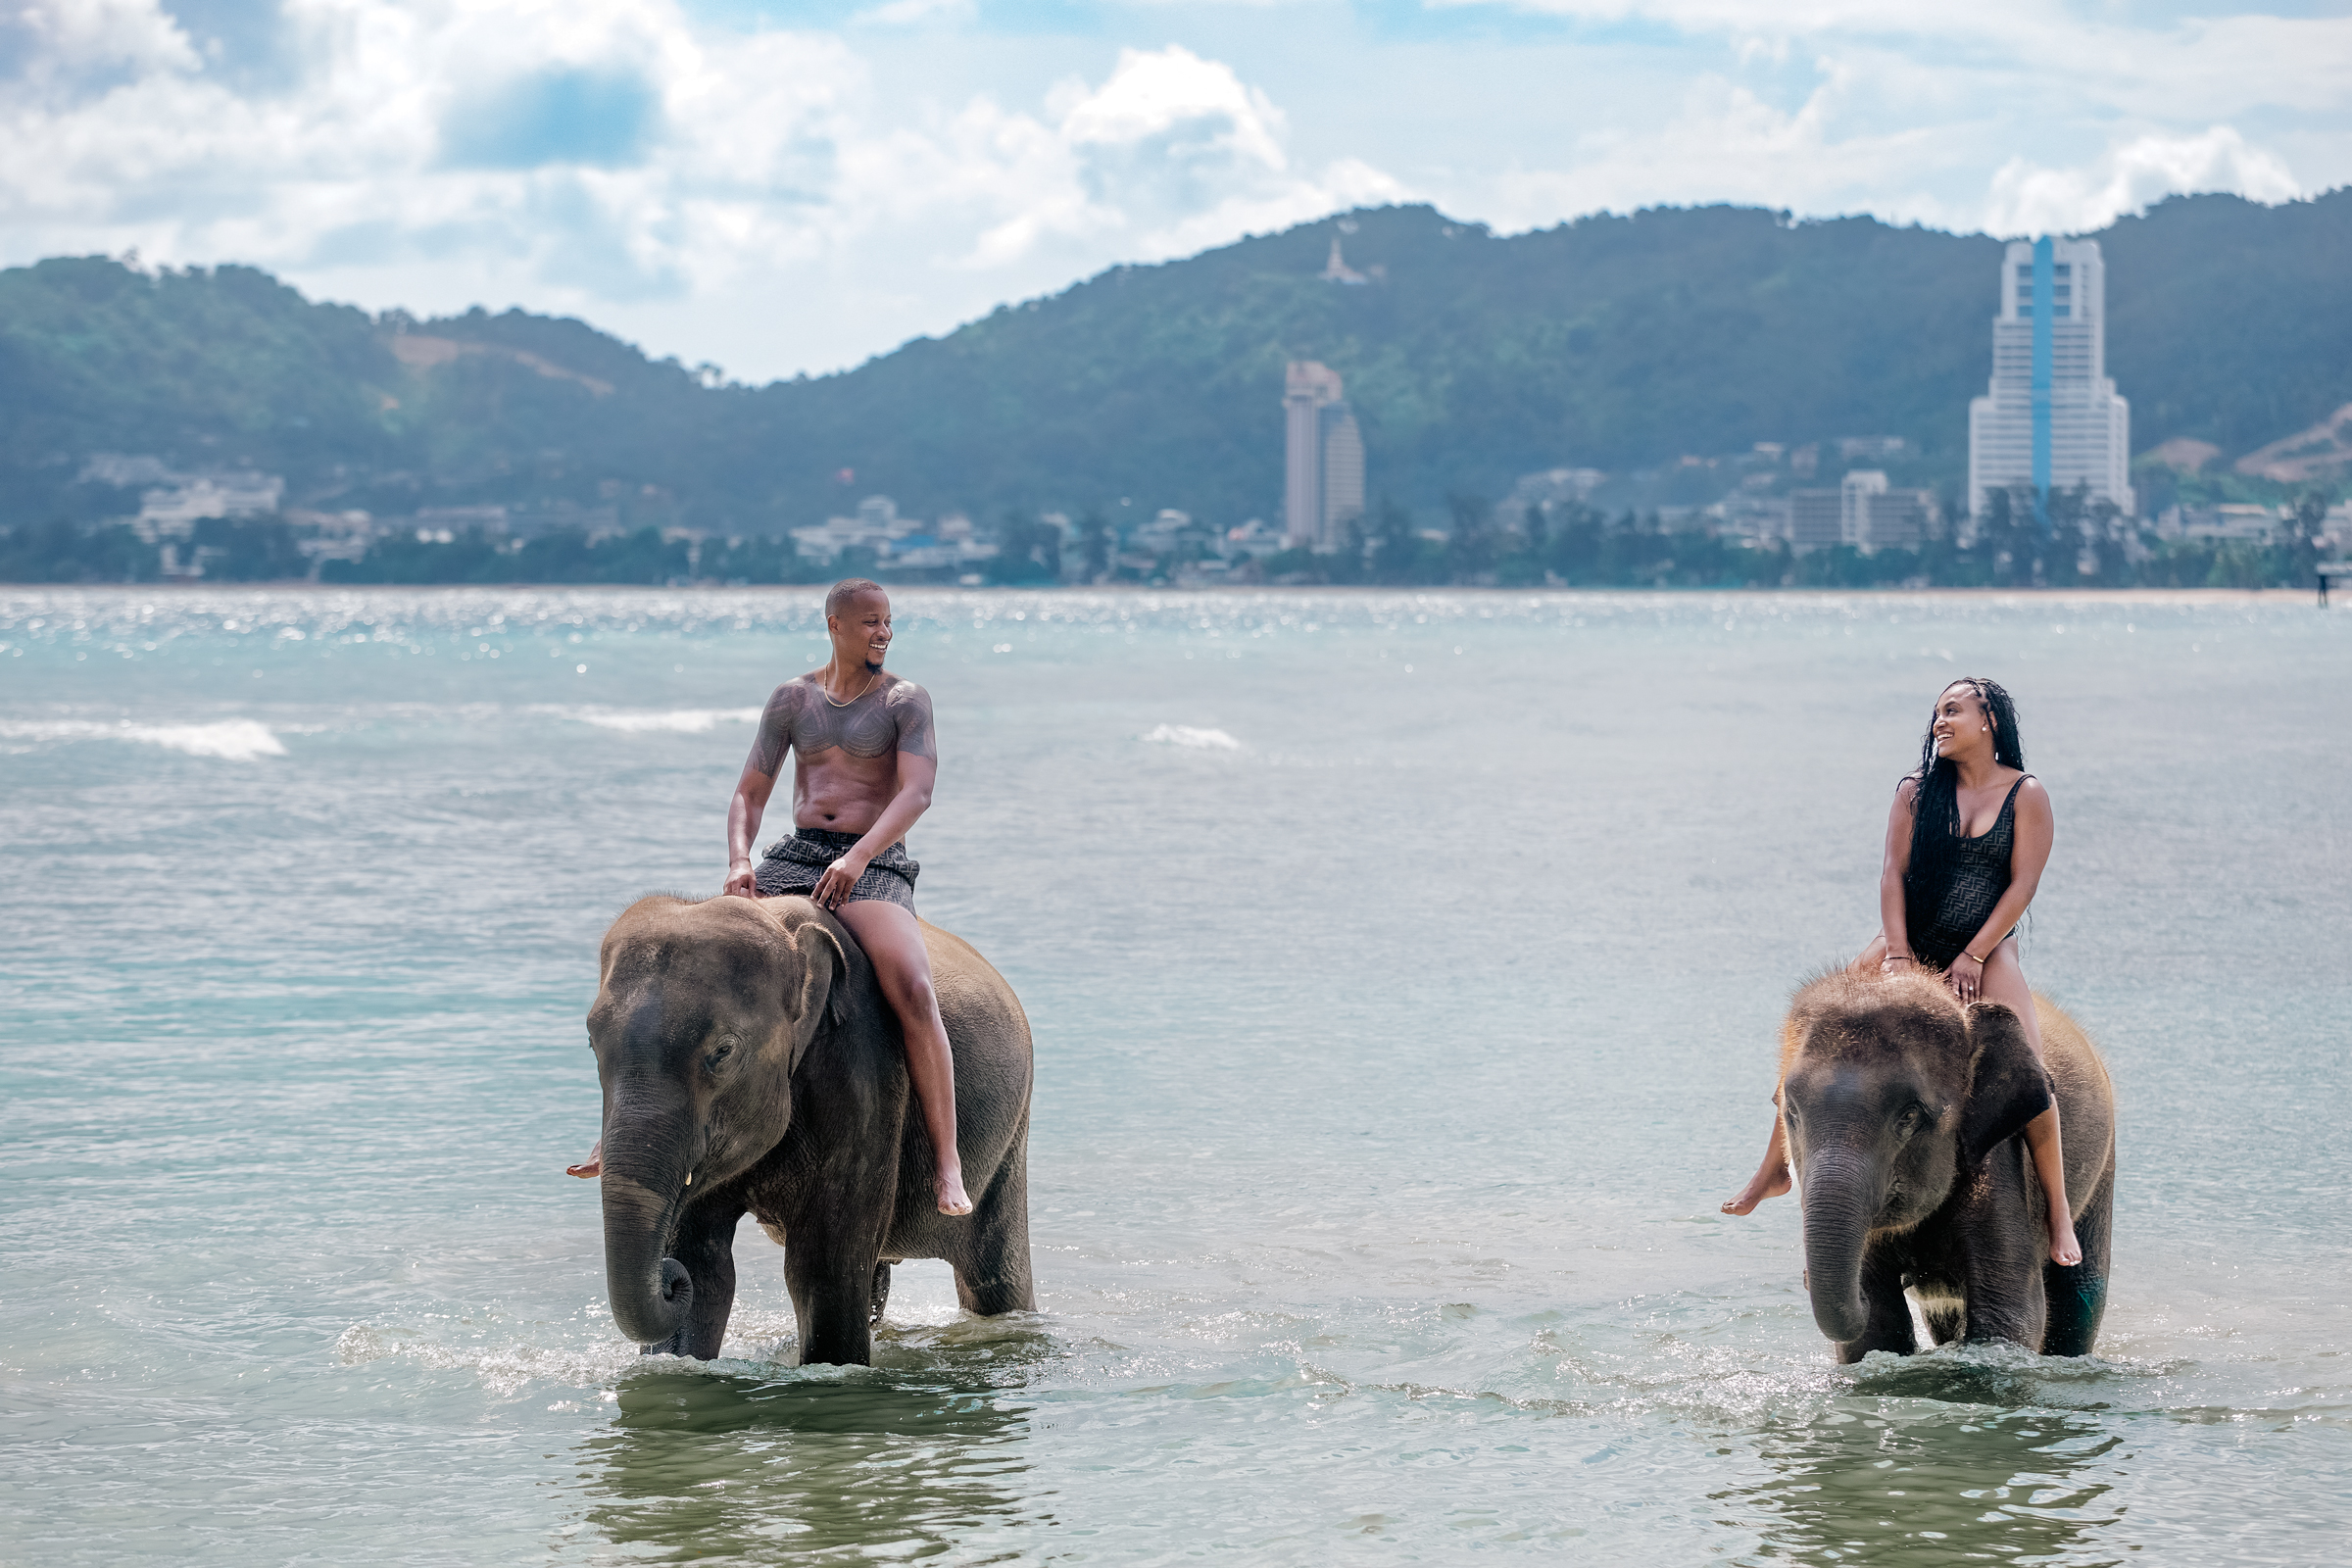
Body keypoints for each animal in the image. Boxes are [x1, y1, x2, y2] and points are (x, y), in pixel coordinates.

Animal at [587, 892, 1036, 1365]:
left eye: (723, 1052)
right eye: (592, 1044)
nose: (667, 1280)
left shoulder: (863, 1071)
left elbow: (822, 1270)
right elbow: (703, 1267)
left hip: (1010, 1139)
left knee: (996, 1280)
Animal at [1774, 969, 2116, 1363]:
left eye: (1909, 1115)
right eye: (1791, 1110)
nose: (1803, 1277)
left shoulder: (2002, 1163)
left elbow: (2010, 1314)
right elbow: (1877, 1330)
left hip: (2102, 1171)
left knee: (2080, 1298)